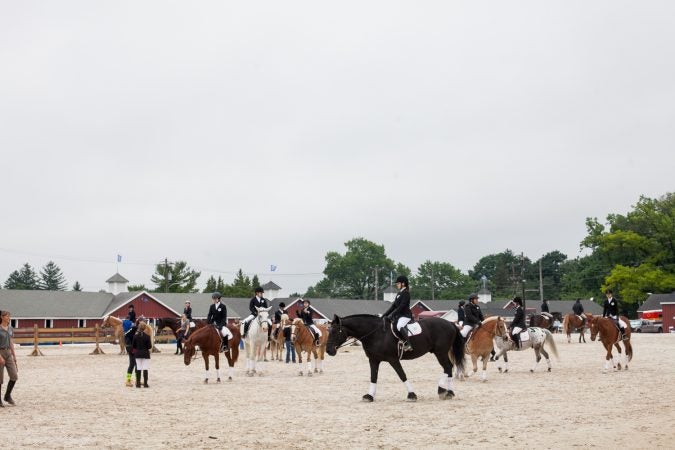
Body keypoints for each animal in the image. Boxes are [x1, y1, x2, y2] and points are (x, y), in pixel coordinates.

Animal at [328, 314, 464, 402]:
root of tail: (450, 323)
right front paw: (369, 396)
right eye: (328, 331)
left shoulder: (393, 360)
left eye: (335, 332)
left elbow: (402, 375)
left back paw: (442, 390)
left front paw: (411, 395)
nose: (328, 351)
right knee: (448, 368)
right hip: (440, 352)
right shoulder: (373, 360)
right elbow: (373, 377)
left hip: (440, 352)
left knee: (447, 367)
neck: (376, 334)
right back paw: (449, 392)